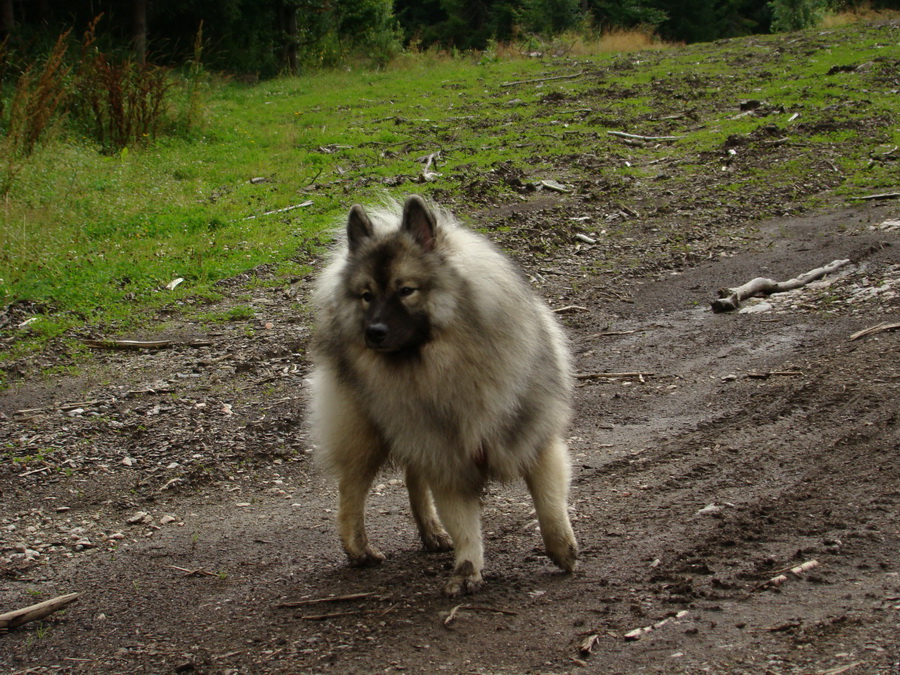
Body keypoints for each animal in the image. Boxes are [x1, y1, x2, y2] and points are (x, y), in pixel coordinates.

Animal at [308, 194, 576, 596]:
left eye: (406, 290)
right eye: (367, 296)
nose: (373, 332)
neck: (444, 369)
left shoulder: (534, 439)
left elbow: (548, 502)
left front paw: (561, 549)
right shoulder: (448, 457)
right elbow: (464, 524)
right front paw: (467, 570)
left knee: (411, 479)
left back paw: (430, 532)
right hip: (369, 430)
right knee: (351, 487)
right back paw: (358, 547)